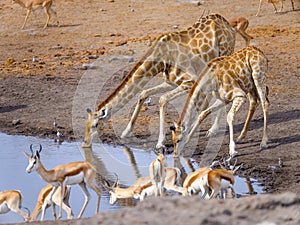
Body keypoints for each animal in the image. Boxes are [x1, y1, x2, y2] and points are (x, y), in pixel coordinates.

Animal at [82, 14, 237, 149]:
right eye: (86, 124)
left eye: (95, 125)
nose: (85, 143)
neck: (160, 58)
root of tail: (227, 24)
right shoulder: (170, 82)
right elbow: (143, 93)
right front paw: (126, 132)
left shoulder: (189, 81)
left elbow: (162, 99)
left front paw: (160, 143)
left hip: (224, 56)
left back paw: (212, 130)